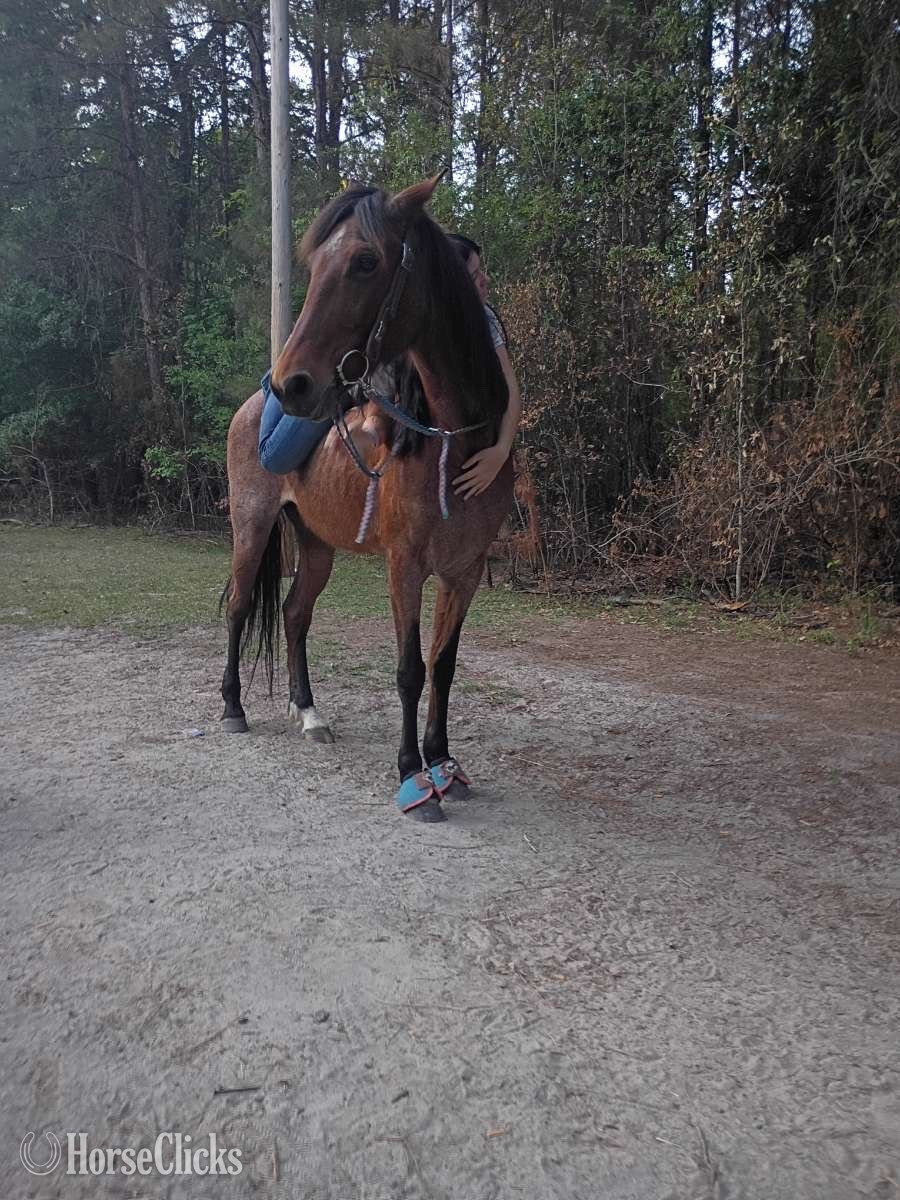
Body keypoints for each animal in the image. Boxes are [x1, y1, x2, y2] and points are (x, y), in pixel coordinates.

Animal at [220, 174, 513, 823]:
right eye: (314, 265)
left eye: (364, 261)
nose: (293, 382)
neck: (450, 438)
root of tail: (254, 404)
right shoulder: (404, 566)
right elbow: (408, 671)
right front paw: (413, 777)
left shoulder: (464, 571)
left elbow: (444, 666)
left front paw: (444, 763)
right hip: (252, 528)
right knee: (239, 607)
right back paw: (232, 707)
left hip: (317, 546)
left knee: (294, 614)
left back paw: (309, 713)